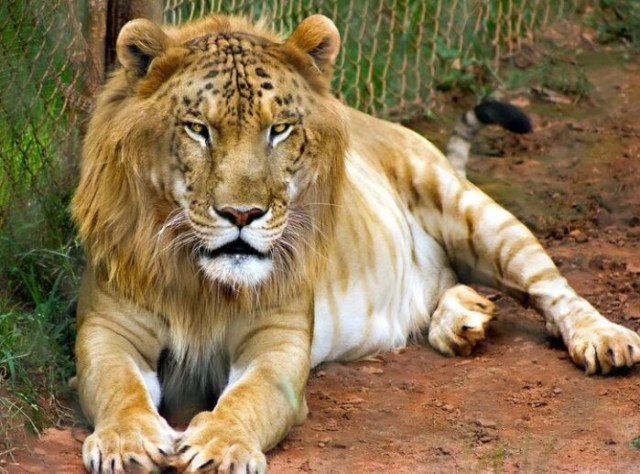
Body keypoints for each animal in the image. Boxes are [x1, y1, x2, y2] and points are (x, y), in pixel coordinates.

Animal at [71, 14, 640, 474]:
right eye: (197, 129)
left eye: (280, 129)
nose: (242, 215)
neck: (202, 281)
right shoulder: (108, 330)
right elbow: (119, 387)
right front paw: (125, 442)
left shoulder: (277, 344)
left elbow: (247, 398)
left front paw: (222, 446)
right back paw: (463, 321)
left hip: (467, 207)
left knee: (551, 286)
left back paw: (603, 339)